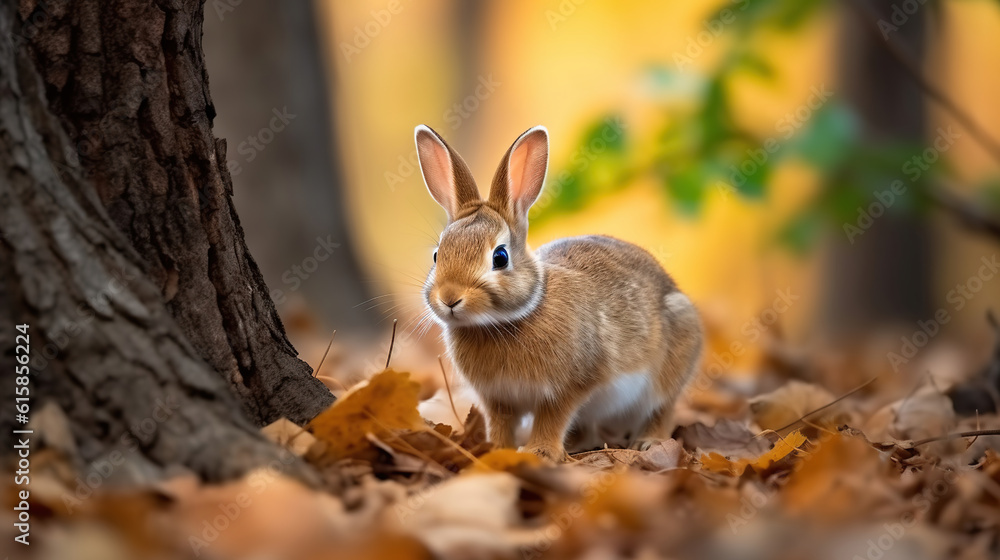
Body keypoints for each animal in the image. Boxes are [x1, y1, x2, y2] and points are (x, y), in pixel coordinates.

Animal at [413, 124, 703, 461]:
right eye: (437, 255)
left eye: (500, 257)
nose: (449, 298)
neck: (504, 321)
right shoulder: (498, 397)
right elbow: (501, 423)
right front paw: (496, 450)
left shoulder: (569, 387)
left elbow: (553, 417)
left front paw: (539, 452)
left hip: (667, 369)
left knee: (661, 408)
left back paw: (648, 442)